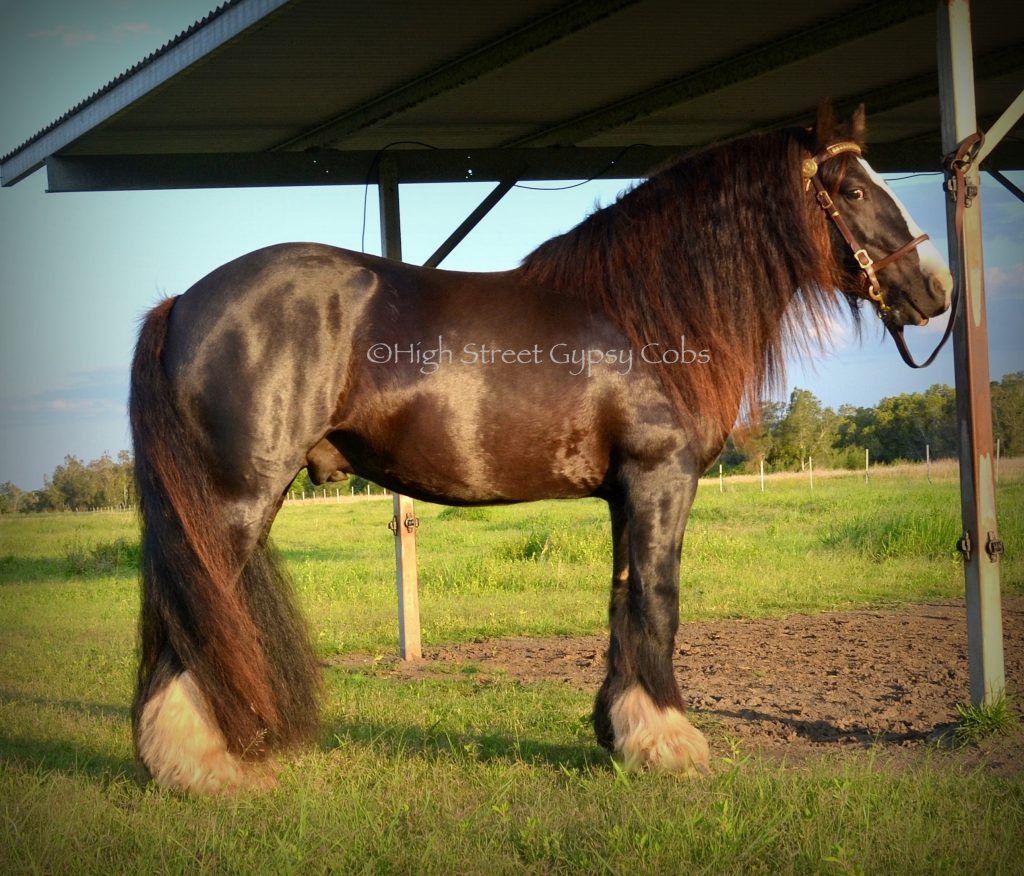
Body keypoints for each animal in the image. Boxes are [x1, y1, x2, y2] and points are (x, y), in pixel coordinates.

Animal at [128, 104, 950, 795]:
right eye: (851, 189)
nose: (936, 288)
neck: (646, 313)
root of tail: (184, 303)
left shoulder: (626, 494)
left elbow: (623, 602)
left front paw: (624, 735)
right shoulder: (662, 478)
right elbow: (660, 602)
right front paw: (673, 745)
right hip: (236, 499)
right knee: (197, 614)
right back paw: (201, 769)